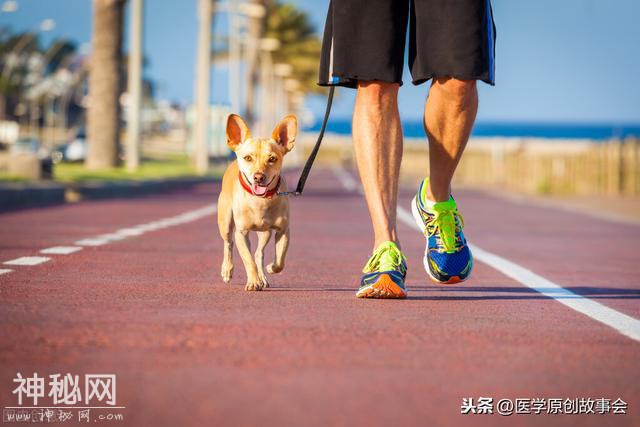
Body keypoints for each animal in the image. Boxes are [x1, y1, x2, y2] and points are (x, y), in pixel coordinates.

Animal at [215, 113, 296, 290]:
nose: (258, 177)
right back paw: (227, 270)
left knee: (259, 253)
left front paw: (271, 268)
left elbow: (280, 260)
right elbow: (248, 260)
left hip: (265, 232)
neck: (260, 201)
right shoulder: (241, 233)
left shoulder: (283, 231)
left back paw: (263, 277)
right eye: (248, 158)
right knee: (228, 244)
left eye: (272, 158)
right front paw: (253, 282)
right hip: (225, 222)